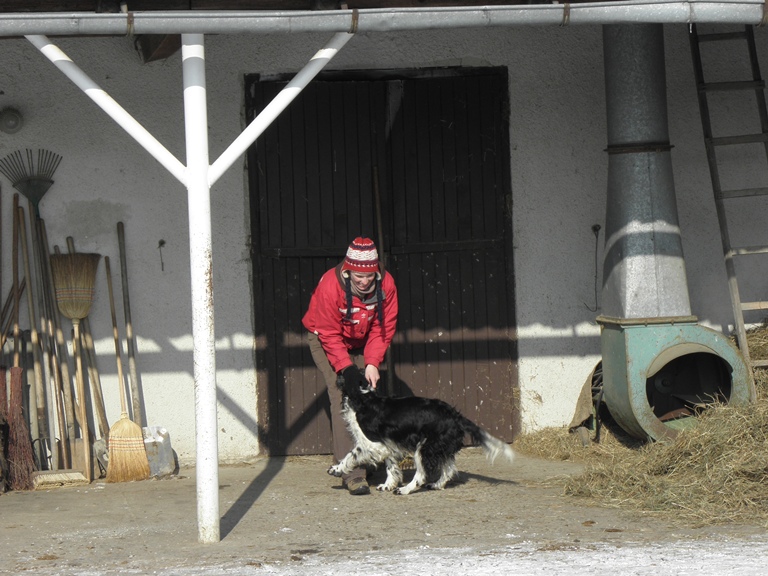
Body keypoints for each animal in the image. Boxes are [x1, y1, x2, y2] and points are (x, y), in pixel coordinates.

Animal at [328, 368, 512, 496]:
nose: (336, 373)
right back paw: (437, 485)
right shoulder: (388, 444)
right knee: (449, 469)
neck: (363, 399)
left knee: (422, 474)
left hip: (424, 448)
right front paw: (388, 485)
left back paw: (405, 490)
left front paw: (336, 469)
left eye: (344, 372)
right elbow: (391, 467)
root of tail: (455, 415)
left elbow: (351, 455)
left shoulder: (372, 444)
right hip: (439, 446)